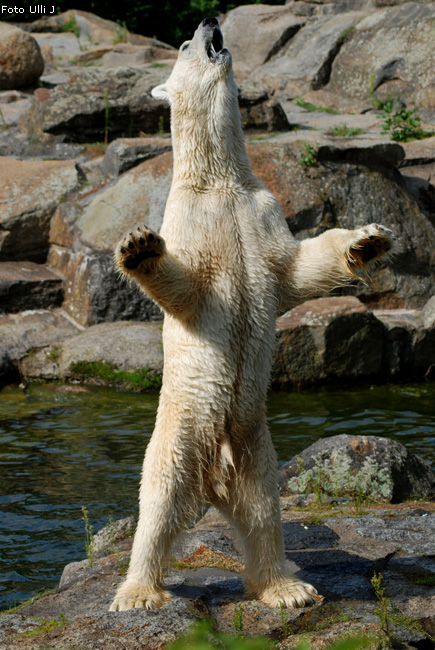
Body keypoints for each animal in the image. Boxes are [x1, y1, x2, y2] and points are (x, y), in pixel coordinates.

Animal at [110, 17, 396, 612]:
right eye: (185, 45)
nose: (209, 21)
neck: (222, 181)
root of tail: (212, 481)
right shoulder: (192, 219)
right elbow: (188, 287)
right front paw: (140, 248)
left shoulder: (260, 211)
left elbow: (300, 267)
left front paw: (370, 241)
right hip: (180, 432)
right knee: (158, 502)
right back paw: (138, 592)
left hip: (255, 443)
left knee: (265, 510)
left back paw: (287, 588)